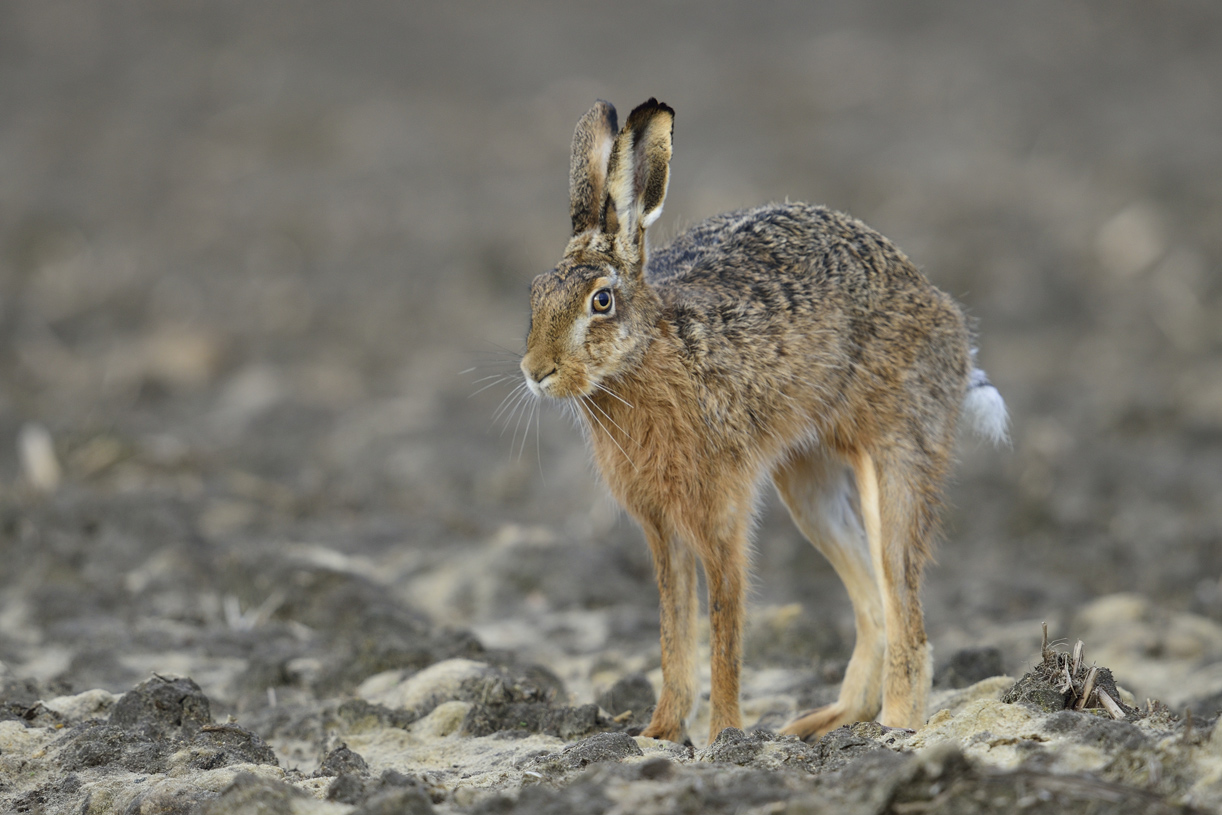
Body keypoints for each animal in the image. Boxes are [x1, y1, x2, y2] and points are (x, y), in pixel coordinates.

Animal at [519, 98, 1009, 745]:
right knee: (873, 606)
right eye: (535, 294)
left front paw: (723, 737)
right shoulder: (661, 527)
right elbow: (674, 629)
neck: (647, 354)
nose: (536, 371)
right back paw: (818, 725)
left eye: (602, 301)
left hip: (902, 451)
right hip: (808, 481)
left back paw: (894, 729)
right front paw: (657, 734)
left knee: (904, 605)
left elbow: (724, 628)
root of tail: (949, 320)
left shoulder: (722, 511)